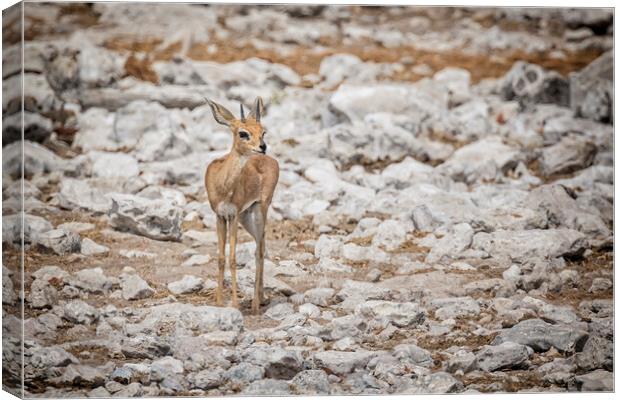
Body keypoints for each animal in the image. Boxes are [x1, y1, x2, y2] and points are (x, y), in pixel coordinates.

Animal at [206, 97, 278, 316]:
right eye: (243, 133)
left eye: (263, 131)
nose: (262, 146)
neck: (223, 184)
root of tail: (271, 160)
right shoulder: (220, 216)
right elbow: (221, 258)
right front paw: (219, 302)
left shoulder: (234, 215)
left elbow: (233, 258)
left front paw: (235, 304)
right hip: (249, 216)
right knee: (261, 245)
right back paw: (261, 298)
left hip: (260, 210)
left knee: (259, 251)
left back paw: (255, 304)